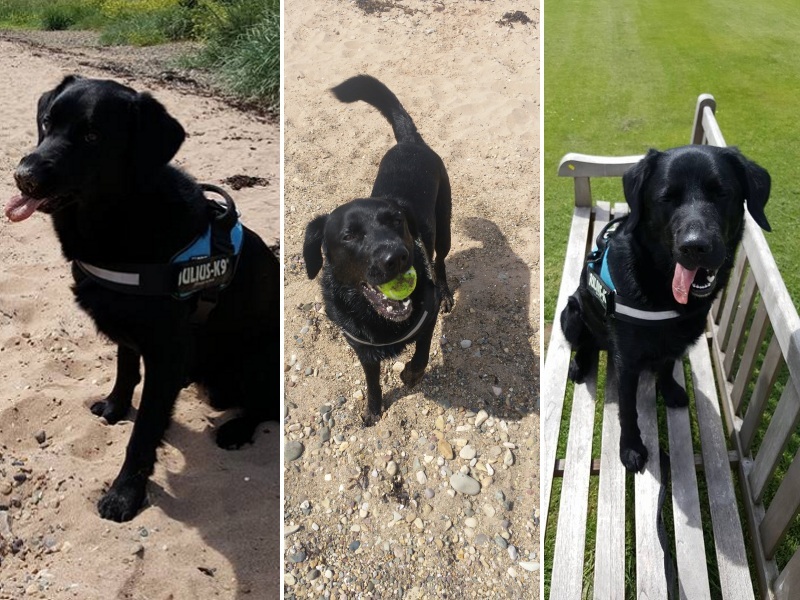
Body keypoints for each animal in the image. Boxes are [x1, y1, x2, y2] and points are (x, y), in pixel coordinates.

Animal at [5, 76, 278, 520]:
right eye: (47, 122)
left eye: (93, 135)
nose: (22, 176)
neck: (120, 216)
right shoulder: (130, 330)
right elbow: (126, 370)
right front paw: (115, 408)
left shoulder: (165, 352)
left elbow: (145, 432)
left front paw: (125, 493)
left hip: (254, 359)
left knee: (266, 404)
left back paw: (236, 428)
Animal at [304, 75, 454, 424]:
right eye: (349, 235)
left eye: (397, 221)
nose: (396, 257)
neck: (380, 319)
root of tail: (410, 142)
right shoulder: (362, 349)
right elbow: (372, 381)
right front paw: (373, 409)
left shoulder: (426, 316)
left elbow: (422, 353)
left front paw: (411, 373)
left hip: (445, 228)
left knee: (440, 261)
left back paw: (446, 291)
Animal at [560, 145, 772, 474]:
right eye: (666, 198)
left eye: (722, 193)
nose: (695, 246)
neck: (662, 290)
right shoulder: (627, 361)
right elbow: (628, 410)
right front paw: (631, 448)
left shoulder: (679, 338)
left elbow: (668, 364)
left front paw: (669, 388)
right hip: (571, 312)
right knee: (584, 342)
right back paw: (580, 365)